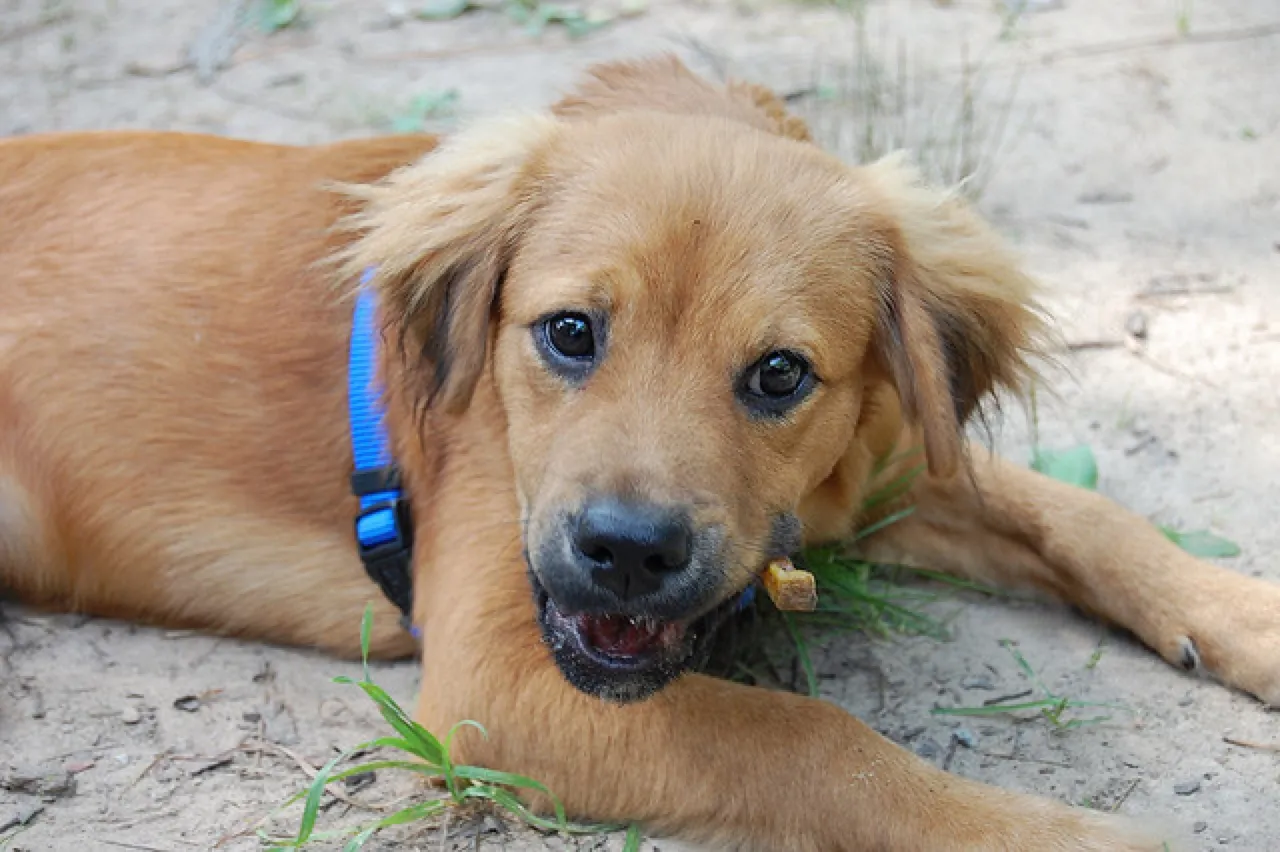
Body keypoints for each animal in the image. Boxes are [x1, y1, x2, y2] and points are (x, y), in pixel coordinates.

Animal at [2, 56, 1280, 844]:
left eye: (779, 374)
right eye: (569, 332)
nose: (623, 553)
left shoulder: (869, 461)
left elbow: (1075, 513)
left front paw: (1240, 614)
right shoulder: (494, 682)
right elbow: (811, 739)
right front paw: (1055, 835)